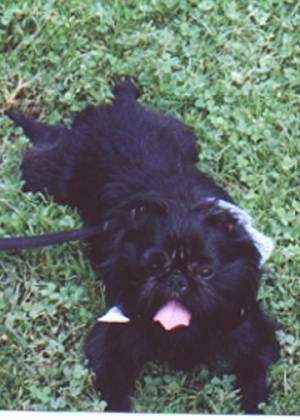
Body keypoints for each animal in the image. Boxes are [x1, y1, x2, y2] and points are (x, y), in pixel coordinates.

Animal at [7, 79, 278, 414]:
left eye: (204, 270)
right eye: (154, 264)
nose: (176, 279)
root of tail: (116, 109)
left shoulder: (252, 334)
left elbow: (256, 382)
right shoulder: (112, 341)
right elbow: (116, 394)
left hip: (184, 138)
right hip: (50, 177)